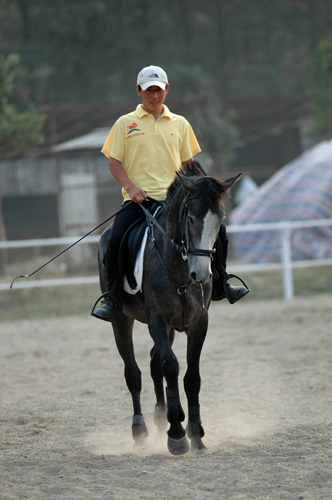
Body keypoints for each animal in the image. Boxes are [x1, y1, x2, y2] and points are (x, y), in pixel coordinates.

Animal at [97, 162, 240, 456]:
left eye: (220, 219)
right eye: (191, 219)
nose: (201, 275)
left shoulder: (198, 322)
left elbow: (191, 376)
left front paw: (196, 435)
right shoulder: (157, 321)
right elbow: (172, 367)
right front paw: (177, 435)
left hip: (173, 327)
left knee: (154, 364)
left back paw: (160, 416)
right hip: (121, 319)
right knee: (134, 372)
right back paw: (140, 430)